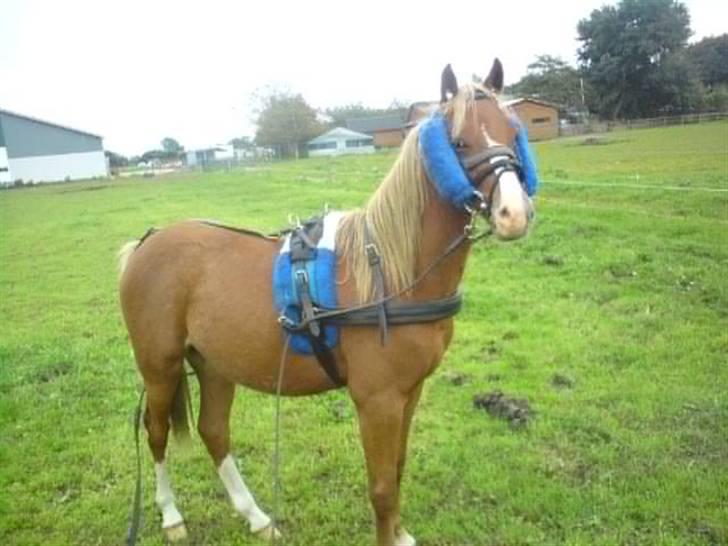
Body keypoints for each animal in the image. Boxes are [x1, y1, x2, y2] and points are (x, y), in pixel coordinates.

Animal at [118, 58, 535, 546]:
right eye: (459, 141)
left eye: (512, 132)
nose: (514, 214)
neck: (389, 272)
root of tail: (146, 243)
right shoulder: (377, 400)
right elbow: (381, 486)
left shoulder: (410, 392)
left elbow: (397, 469)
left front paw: (399, 534)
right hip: (160, 367)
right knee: (157, 433)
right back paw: (171, 515)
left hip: (214, 365)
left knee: (214, 431)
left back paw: (256, 516)